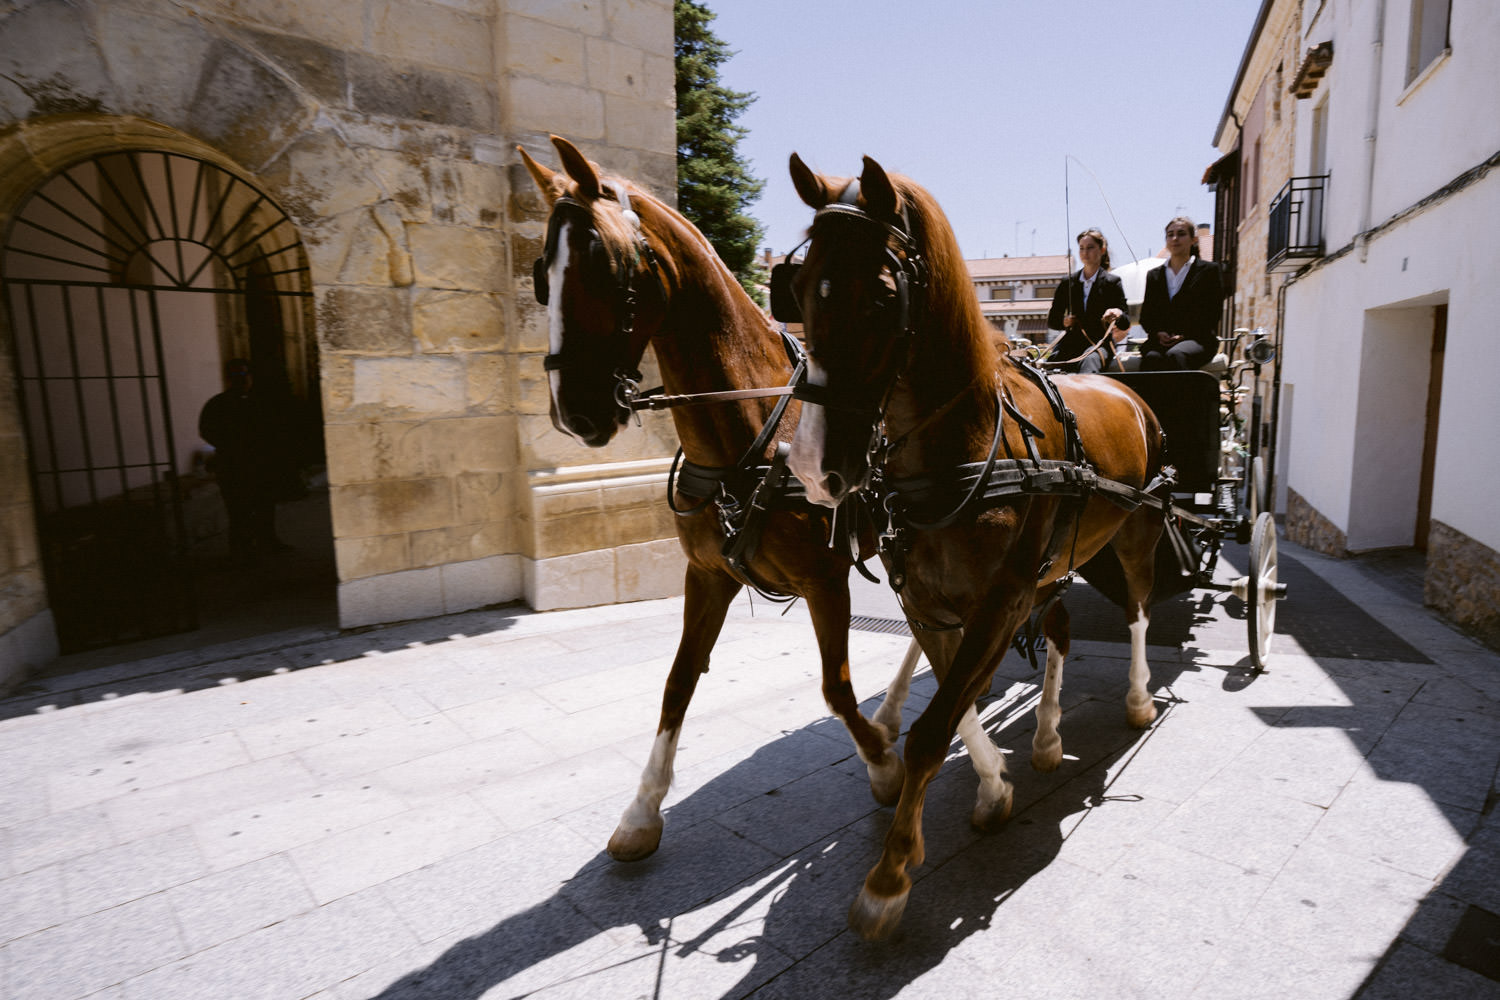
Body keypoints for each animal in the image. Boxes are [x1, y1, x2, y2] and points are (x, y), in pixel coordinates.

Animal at [519, 137, 924, 863]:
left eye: (604, 264)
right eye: (544, 271)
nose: (573, 411)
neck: (754, 422)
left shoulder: (824, 578)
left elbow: (835, 688)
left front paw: (882, 765)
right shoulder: (707, 574)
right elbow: (678, 681)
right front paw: (643, 809)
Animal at [786, 152, 1170, 941]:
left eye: (880, 300)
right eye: (801, 288)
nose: (810, 466)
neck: (958, 444)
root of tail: (1124, 386)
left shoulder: (998, 599)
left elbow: (936, 728)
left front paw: (890, 877)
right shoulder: (930, 602)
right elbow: (955, 705)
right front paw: (994, 787)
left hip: (1137, 531)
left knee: (1140, 612)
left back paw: (1138, 698)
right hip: (1056, 563)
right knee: (1061, 630)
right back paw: (1048, 736)